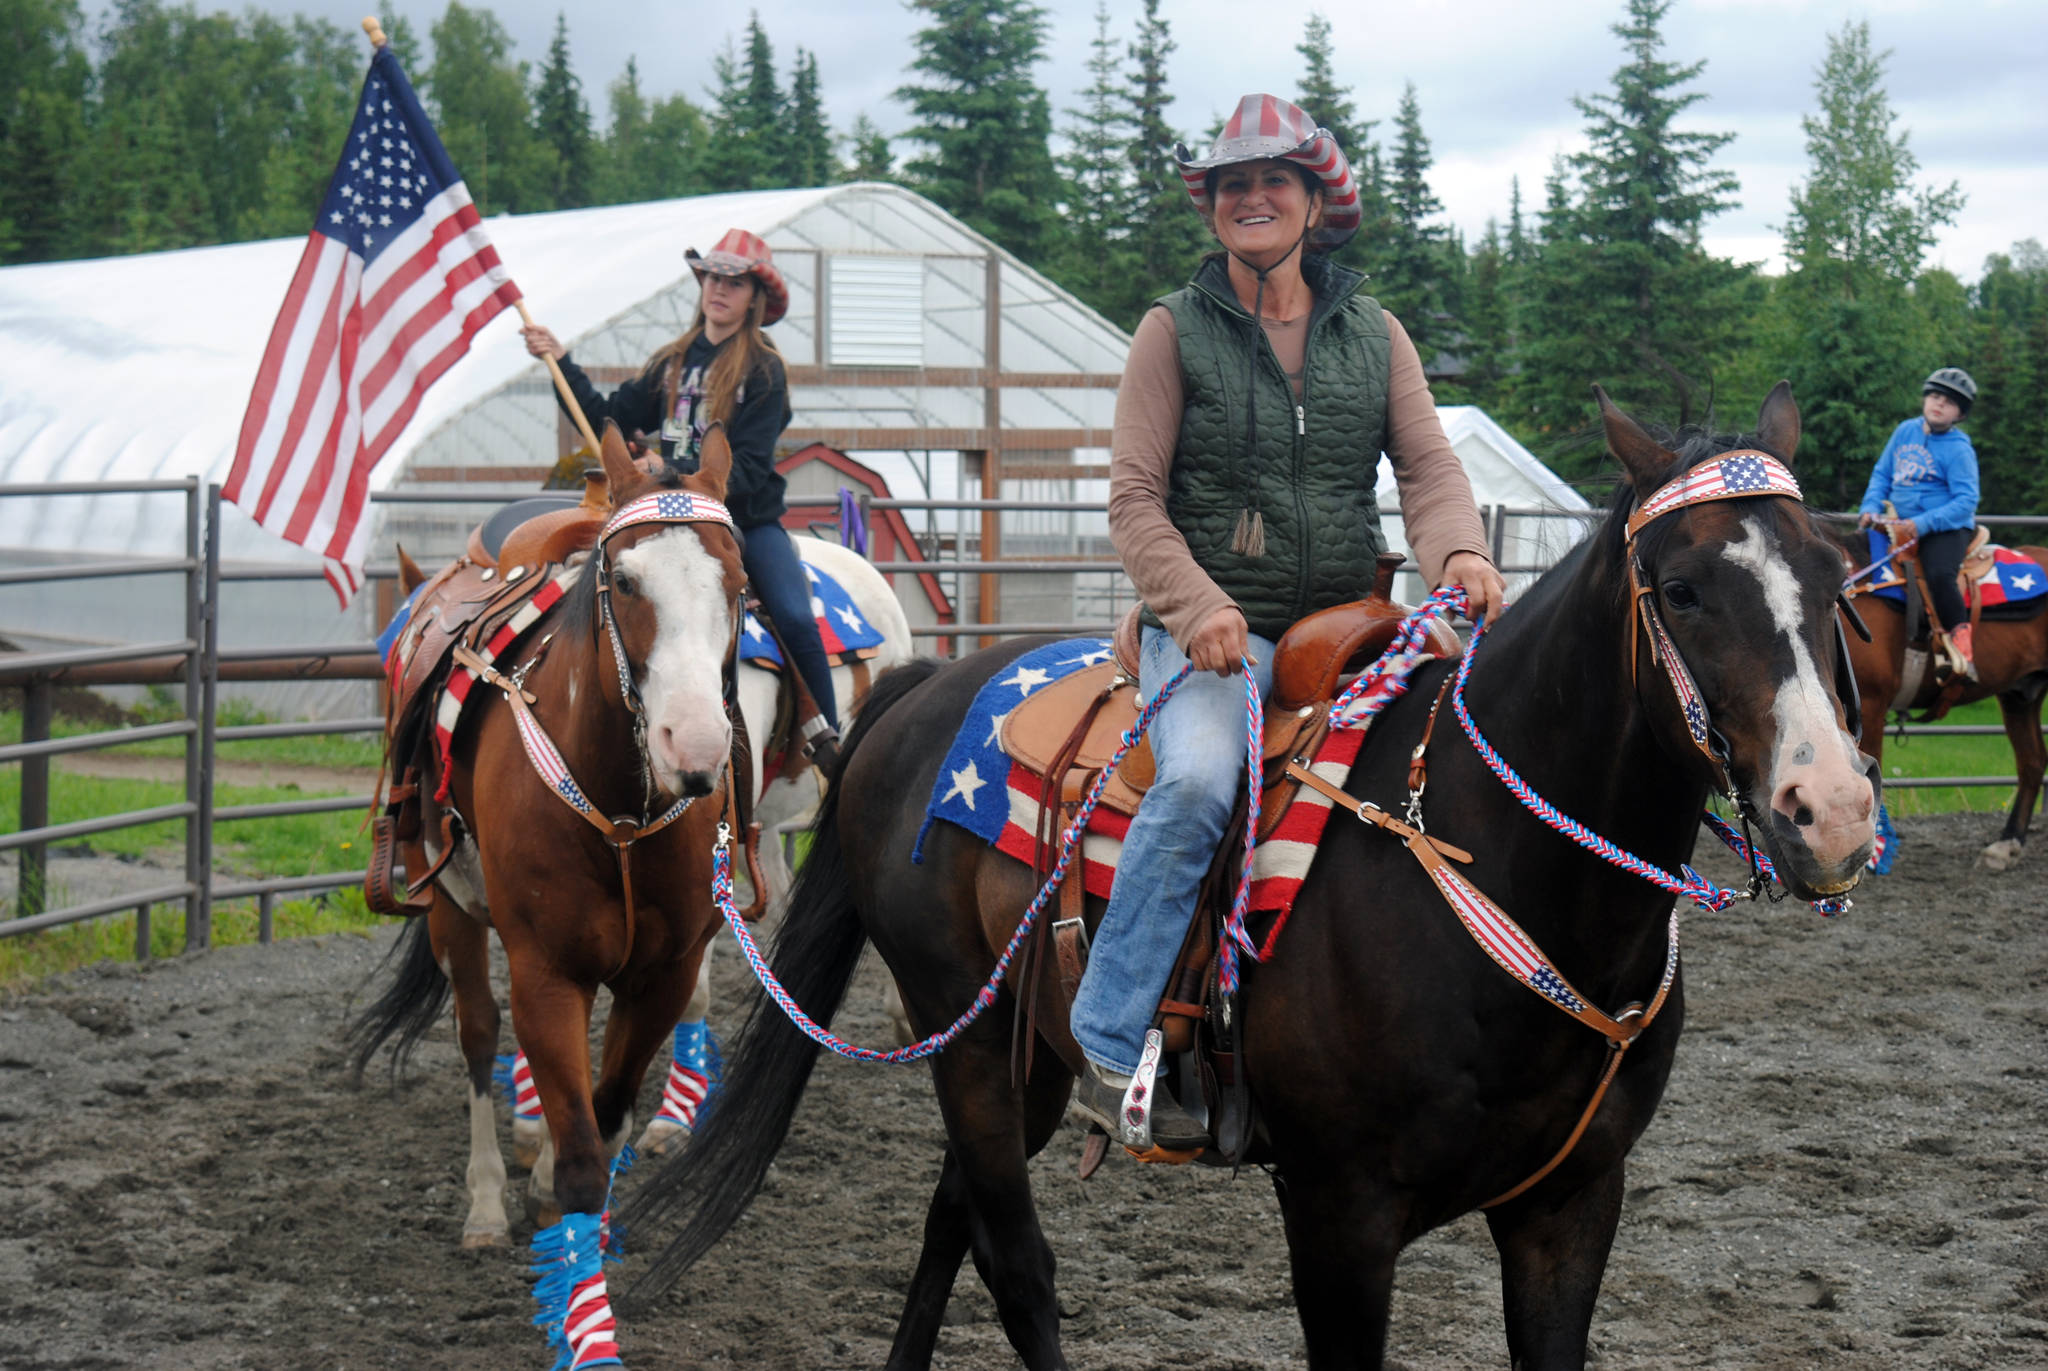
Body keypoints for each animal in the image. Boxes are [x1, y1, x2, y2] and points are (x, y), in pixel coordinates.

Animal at [618, 385, 1875, 1368]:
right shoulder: (1338, 1216)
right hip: (964, 1044)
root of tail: (924, 687)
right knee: (1014, 1263)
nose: (1831, 813)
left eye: (1834, 575)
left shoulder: (1569, 1208)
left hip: (1024, 1055)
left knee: (951, 1223)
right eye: (1682, 588)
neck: (1502, 874)